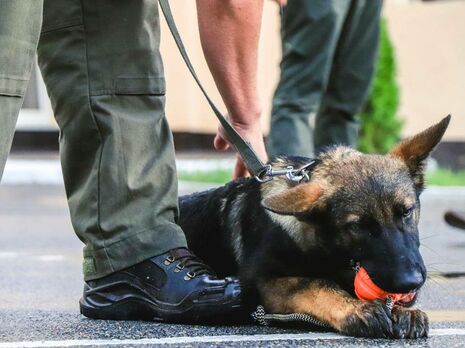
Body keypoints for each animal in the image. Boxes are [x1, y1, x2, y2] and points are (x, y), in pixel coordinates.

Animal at [179, 115, 450, 338]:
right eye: (358, 226)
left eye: (406, 212)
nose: (409, 283)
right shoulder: (262, 281)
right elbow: (315, 283)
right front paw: (356, 308)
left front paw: (402, 310)